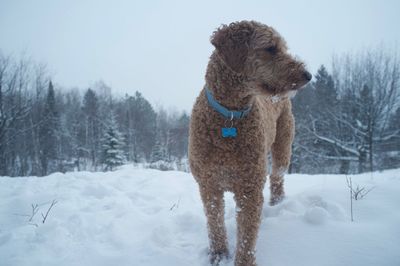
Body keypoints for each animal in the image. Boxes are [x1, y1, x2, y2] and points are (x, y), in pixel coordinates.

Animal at [188, 21, 312, 266]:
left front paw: (243, 261)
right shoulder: (209, 184)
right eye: (271, 48)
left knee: (277, 178)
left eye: (283, 47)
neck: (230, 116)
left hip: (283, 146)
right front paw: (219, 255)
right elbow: (215, 223)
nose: (308, 75)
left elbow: (247, 235)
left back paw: (277, 203)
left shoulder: (250, 187)